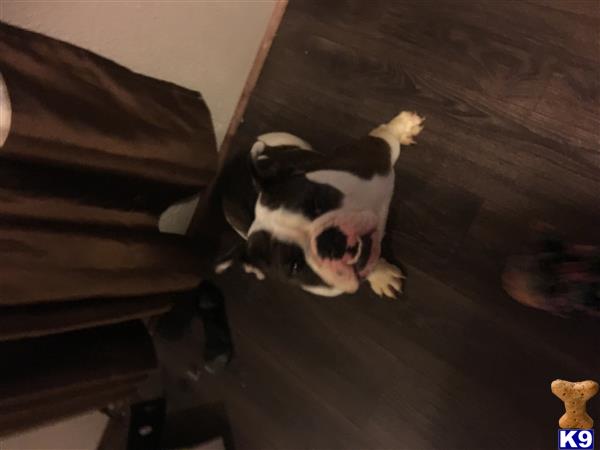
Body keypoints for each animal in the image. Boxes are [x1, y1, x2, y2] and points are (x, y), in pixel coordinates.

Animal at [213, 110, 424, 298]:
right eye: (296, 266)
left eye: (316, 203)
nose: (329, 242)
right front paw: (381, 275)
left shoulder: (369, 158)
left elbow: (385, 137)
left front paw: (401, 127)